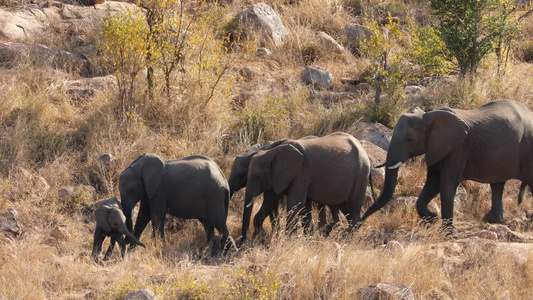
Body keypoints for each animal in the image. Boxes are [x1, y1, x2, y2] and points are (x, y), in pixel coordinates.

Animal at [240, 132, 370, 240]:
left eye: (258, 177)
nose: (243, 241)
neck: (272, 152)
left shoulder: (301, 172)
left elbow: (296, 203)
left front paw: (288, 240)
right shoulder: (277, 176)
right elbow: (272, 201)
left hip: (361, 175)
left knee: (353, 205)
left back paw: (345, 238)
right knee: (343, 205)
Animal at [362, 99, 533, 231]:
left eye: (410, 139)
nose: (361, 222)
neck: (429, 116)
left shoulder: (458, 149)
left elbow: (446, 183)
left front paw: (447, 231)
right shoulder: (435, 148)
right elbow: (433, 183)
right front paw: (431, 219)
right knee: (497, 183)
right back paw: (492, 220)